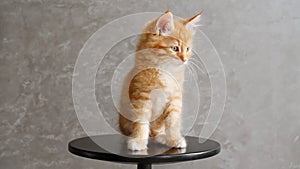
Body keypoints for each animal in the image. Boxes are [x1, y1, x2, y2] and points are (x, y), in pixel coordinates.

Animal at [118, 10, 200, 151]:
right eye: (175, 48)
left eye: (188, 49)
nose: (185, 59)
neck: (164, 71)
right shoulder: (141, 97)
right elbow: (141, 122)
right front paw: (138, 141)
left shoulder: (174, 98)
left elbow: (173, 122)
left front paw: (174, 139)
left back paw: (162, 137)